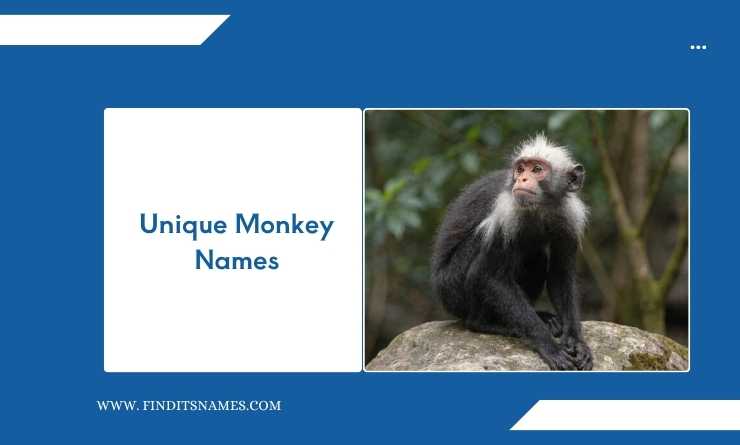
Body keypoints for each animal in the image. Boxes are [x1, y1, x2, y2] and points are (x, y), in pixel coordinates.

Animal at [431, 134, 593, 370]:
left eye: (537, 169)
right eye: (521, 169)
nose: (522, 180)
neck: (540, 208)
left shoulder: (569, 217)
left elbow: (561, 275)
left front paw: (576, 340)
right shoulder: (505, 214)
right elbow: (489, 277)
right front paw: (548, 345)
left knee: (536, 257)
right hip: (451, 287)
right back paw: (488, 324)